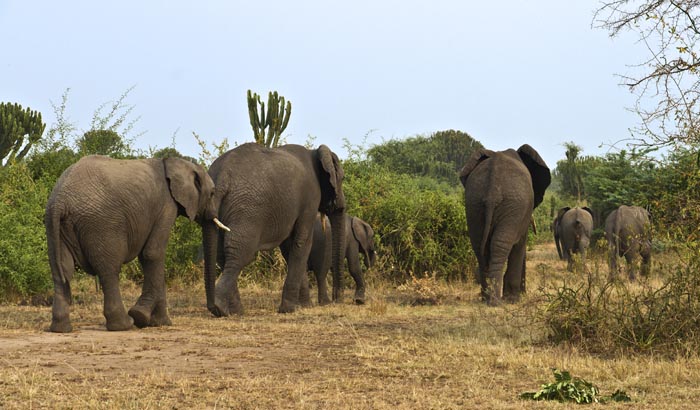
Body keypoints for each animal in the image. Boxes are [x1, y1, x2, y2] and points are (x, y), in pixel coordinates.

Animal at [45, 155, 227, 334]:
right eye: (212, 193)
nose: (218, 311)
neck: (174, 162)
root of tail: (61, 200)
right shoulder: (166, 206)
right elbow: (153, 253)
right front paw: (146, 318)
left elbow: (148, 257)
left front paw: (156, 321)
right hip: (101, 225)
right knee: (109, 270)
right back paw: (124, 325)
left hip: (54, 226)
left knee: (62, 271)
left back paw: (61, 329)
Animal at [201, 144, 346, 318]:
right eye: (343, 178)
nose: (337, 300)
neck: (315, 152)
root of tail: (222, 175)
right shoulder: (310, 199)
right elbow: (302, 243)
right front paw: (289, 309)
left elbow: (290, 248)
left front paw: (304, 306)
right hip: (248, 211)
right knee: (240, 253)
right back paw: (220, 308)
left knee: (222, 255)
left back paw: (234, 311)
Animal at [460, 144, 552, 304]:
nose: (524, 292)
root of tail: (492, 190)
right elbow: (520, 244)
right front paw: (514, 298)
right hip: (513, 204)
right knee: (501, 244)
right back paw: (496, 301)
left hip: (474, 202)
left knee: (479, 246)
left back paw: (486, 298)